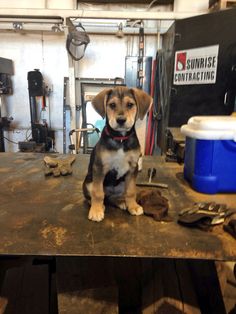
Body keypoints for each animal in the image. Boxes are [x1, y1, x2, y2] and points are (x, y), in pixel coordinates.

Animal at [83, 87, 153, 222]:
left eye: (130, 105)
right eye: (112, 105)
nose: (121, 120)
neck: (120, 139)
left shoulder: (133, 167)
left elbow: (131, 191)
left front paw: (133, 206)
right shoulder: (99, 167)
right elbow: (97, 193)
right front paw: (96, 211)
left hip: (122, 184)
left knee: (113, 197)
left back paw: (121, 201)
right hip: (89, 183)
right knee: (96, 196)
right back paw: (98, 206)